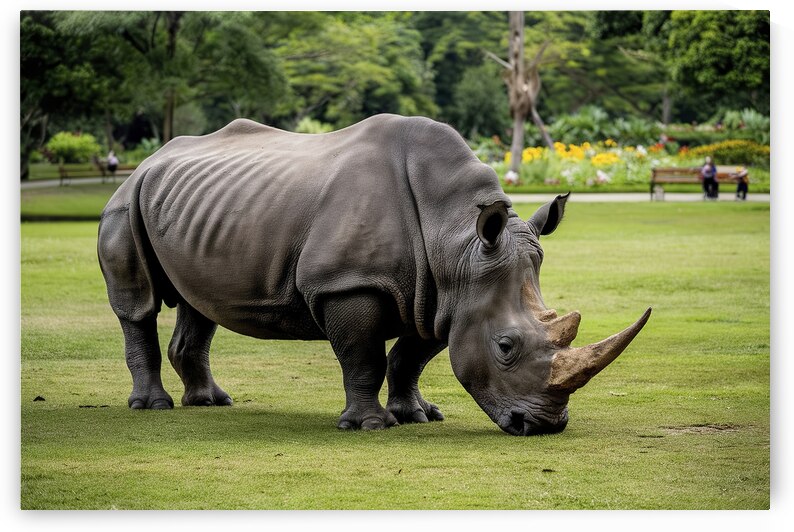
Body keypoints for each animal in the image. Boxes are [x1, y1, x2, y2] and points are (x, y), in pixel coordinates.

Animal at [98, 114, 651, 436]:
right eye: (506, 347)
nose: (543, 426)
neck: (458, 242)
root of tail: (148, 160)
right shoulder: (347, 284)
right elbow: (364, 357)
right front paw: (370, 426)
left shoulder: (442, 296)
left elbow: (411, 357)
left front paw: (418, 416)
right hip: (125, 202)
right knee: (139, 305)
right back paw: (152, 407)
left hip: (198, 207)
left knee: (199, 304)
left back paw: (211, 403)